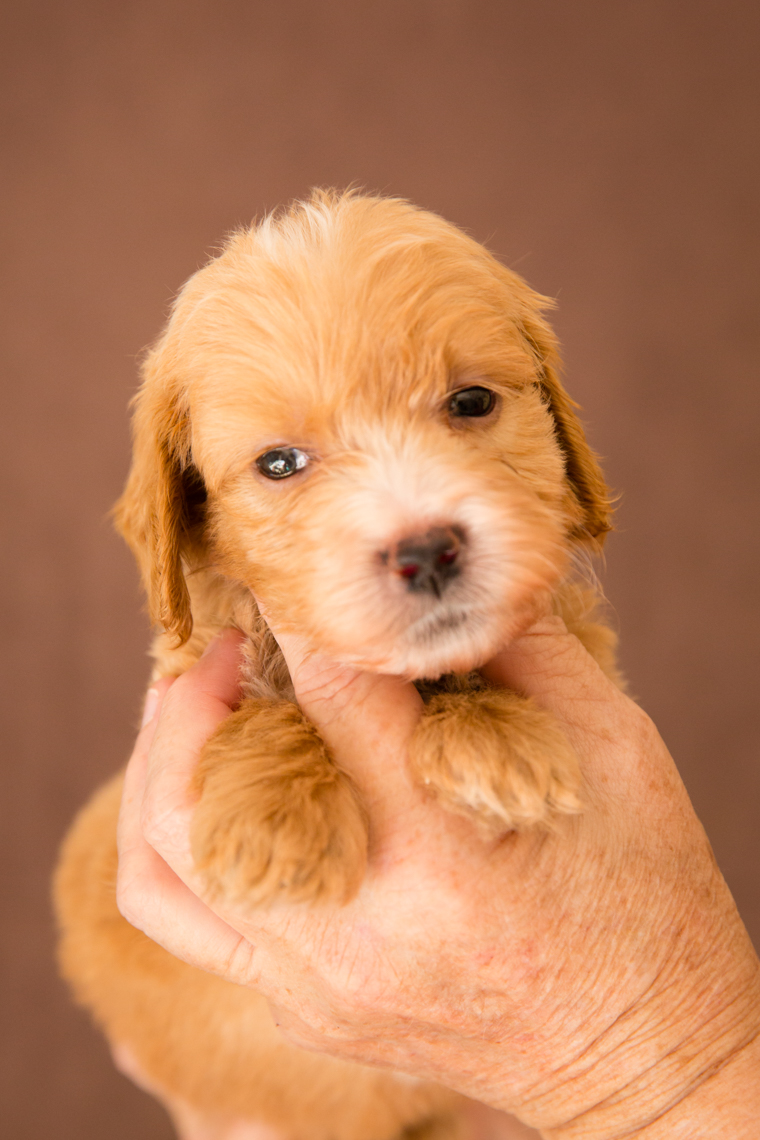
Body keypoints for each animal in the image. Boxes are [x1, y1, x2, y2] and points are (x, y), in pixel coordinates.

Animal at [56, 193, 619, 1140]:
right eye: (279, 463)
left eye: (471, 401)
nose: (425, 550)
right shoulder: (195, 659)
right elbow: (260, 696)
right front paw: (275, 818)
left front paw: (495, 743)